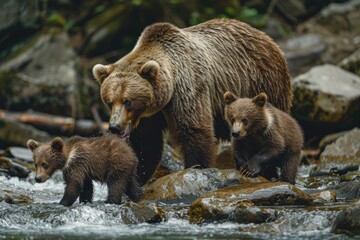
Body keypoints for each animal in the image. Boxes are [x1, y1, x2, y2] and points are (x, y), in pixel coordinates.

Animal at [91, 18, 292, 186]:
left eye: (128, 101)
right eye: (109, 101)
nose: (114, 127)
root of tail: (266, 37)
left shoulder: (188, 88)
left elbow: (194, 130)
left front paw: (196, 168)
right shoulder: (150, 116)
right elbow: (146, 143)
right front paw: (138, 176)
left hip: (263, 82)